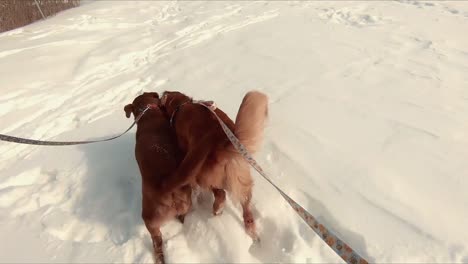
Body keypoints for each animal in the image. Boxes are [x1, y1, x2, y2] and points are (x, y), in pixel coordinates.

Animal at [159, 91, 266, 241]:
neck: (182, 104)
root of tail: (223, 143)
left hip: (202, 176)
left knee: (220, 193)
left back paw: (217, 209)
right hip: (241, 177)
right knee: (246, 204)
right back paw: (252, 232)